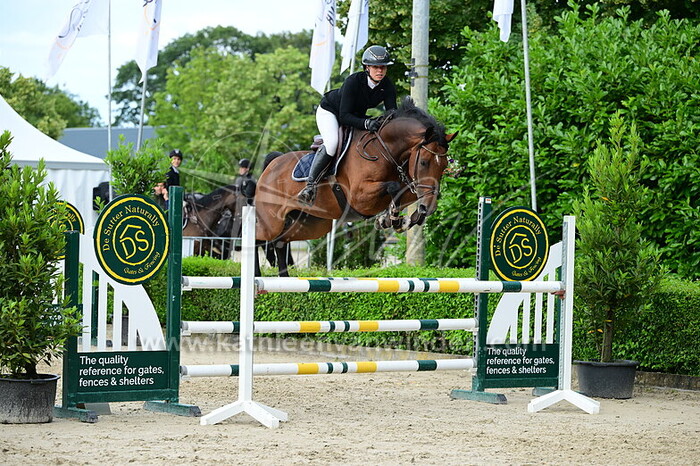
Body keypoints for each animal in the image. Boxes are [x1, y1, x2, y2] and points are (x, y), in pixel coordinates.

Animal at [255, 97, 457, 277]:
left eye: (444, 166)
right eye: (423, 162)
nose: (429, 208)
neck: (384, 150)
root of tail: (272, 164)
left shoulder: (410, 186)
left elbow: (406, 194)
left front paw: (403, 219)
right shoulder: (359, 198)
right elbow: (392, 187)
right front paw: (390, 218)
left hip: (311, 225)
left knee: (280, 242)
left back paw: (283, 279)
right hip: (272, 221)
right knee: (258, 238)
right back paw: (257, 275)